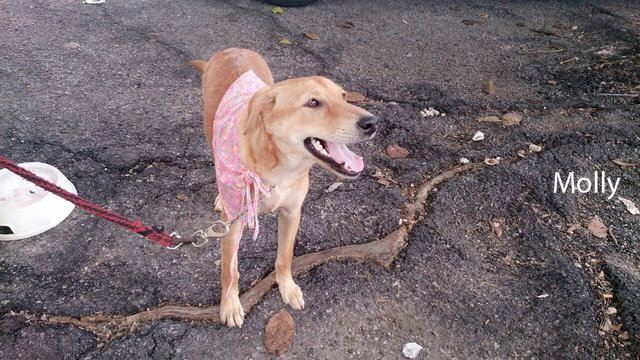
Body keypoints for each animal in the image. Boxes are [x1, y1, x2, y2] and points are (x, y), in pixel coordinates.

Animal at [191, 48, 380, 330]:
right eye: (312, 103)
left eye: (344, 96)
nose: (372, 122)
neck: (279, 168)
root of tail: (231, 50)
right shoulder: (233, 225)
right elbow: (230, 270)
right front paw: (230, 304)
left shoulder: (292, 212)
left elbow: (285, 256)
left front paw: (287, 287)